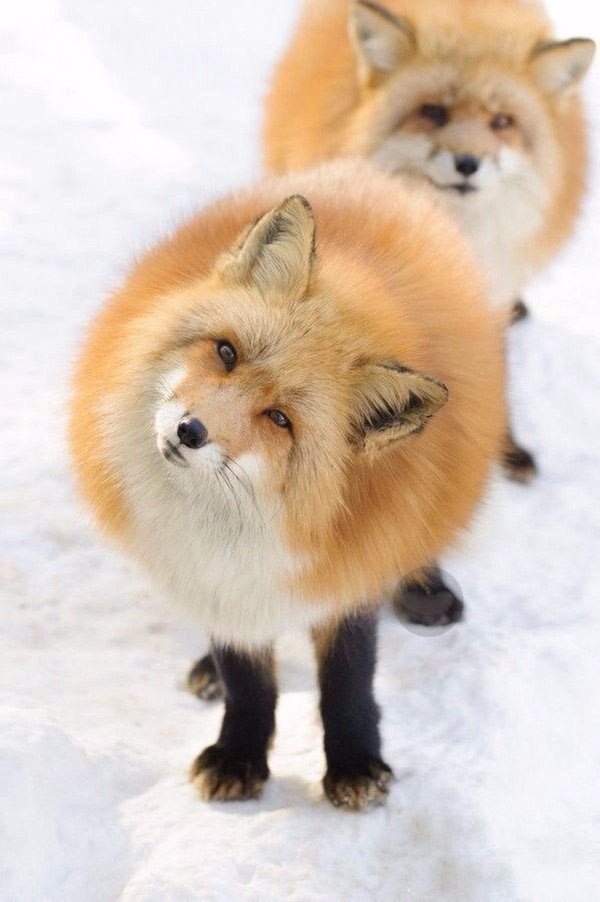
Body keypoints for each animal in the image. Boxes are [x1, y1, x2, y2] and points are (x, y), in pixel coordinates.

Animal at [70, 159, 505, 809]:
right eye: (226, 352)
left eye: (279, 419)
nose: (190, 431)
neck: (232, 526)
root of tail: (368, 172)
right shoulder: (213, 573)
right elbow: (247, 679)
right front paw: (240, 754)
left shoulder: (351, 565)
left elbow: (347, 681)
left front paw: (354, 763)